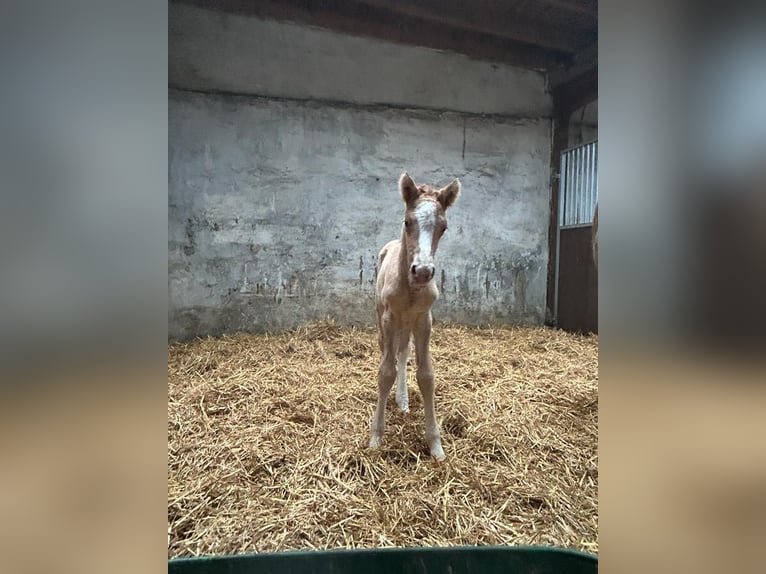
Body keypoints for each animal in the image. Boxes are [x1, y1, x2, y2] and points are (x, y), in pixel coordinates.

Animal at [370, 172, 462, 464]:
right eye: (407, 221)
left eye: (443, 227)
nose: (422, 271)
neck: (410, 289)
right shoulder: (389, 317)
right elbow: (385, 372)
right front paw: (376, 437)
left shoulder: (424, 320)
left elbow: (426, 376)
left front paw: (436, 446)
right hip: (384, 319)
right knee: (389, 354)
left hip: (407, 324)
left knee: (402, 352)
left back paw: (402, 400)